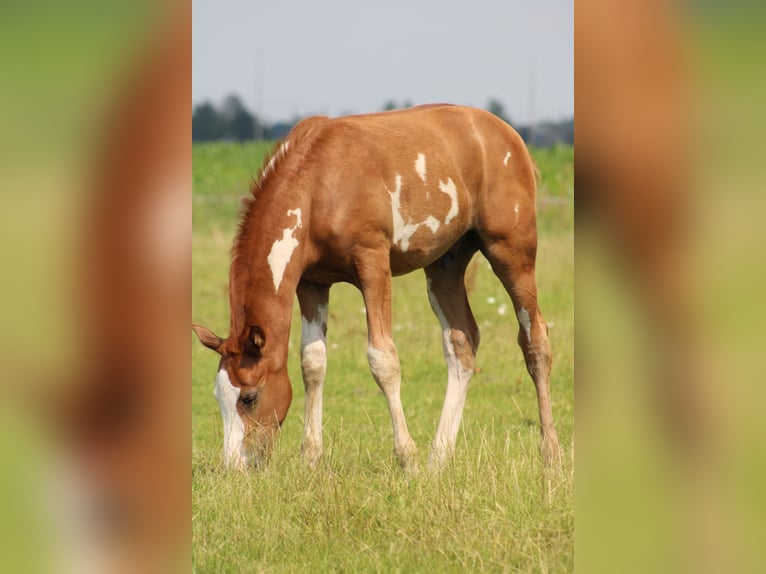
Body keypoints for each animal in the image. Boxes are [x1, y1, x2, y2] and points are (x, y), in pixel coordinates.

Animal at [194, 103, 564, 472]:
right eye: (218, 396)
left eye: (250, 397)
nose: (234, 466)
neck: (318, 184)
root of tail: (509, 134)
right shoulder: (313, 282)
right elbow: (312, 362)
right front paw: (310, 458)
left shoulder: (373, 264)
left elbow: (383, 359)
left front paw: (407, 457)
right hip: (445, 265)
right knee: (462, 342)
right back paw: (439, 458)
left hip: (511, 252)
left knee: (535, 339)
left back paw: (550, 453)